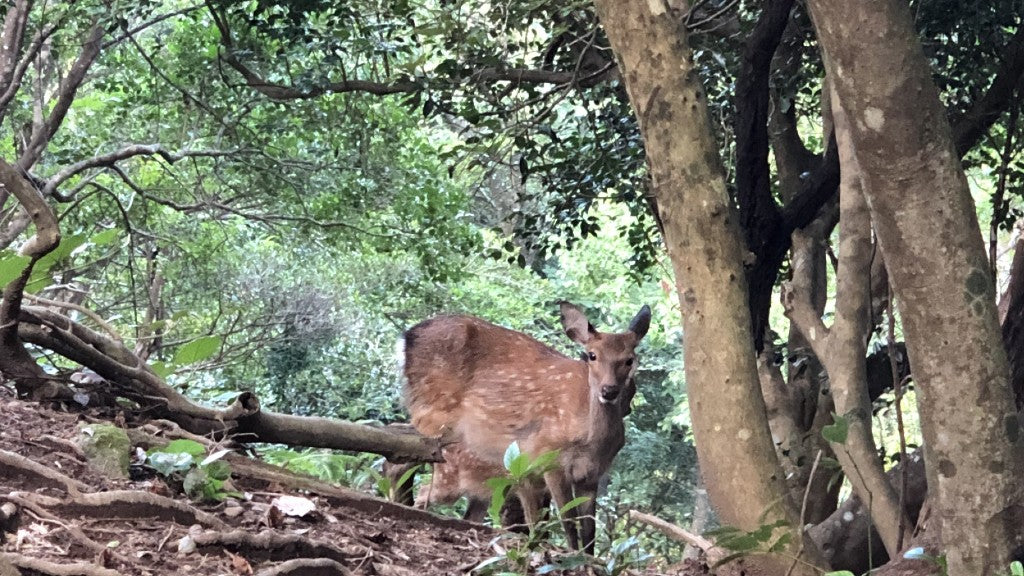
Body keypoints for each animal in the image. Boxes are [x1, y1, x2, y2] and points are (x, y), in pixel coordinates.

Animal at [399, 297, 647, 549]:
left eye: (629, 360)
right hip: (433, 412)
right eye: (592, 355)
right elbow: (567, 521)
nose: (609, 391)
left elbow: (589, 531)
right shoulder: (549, 459)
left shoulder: (591, 474)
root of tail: (407, 336)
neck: (590, 439)